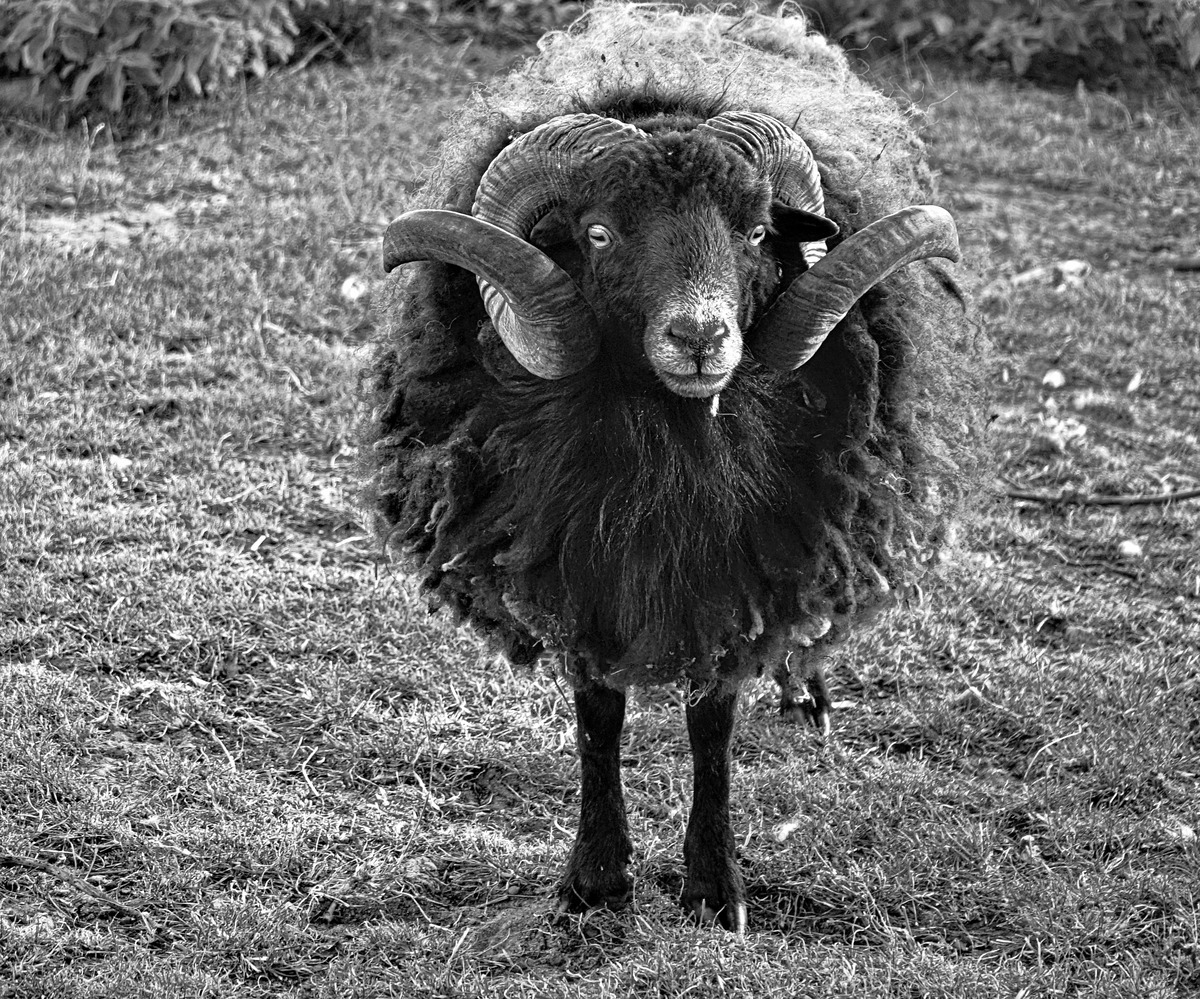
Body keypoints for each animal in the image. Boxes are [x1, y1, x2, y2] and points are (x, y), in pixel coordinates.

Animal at [362, 3, 988, 932]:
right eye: (598, 232)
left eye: (756, 231)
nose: (701, 337)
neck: (667, 446)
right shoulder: (572, 561)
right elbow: (598, 720)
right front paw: (593, 881)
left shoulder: (741, 568)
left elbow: (712, 729)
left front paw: (714, 888)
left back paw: (808, 694)